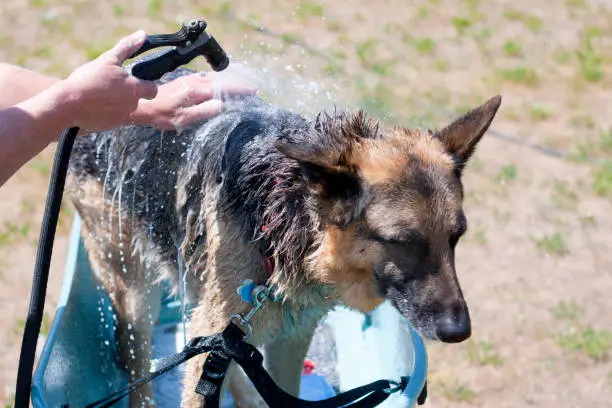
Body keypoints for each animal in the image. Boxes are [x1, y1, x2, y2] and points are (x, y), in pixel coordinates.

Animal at [67, 68, 502, 406]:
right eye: (401, 241)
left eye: (456, 237)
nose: (459, 331)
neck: (281, 216)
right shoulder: (215, 329)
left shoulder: (289, 337)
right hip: (136, 290)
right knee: (136, 360)